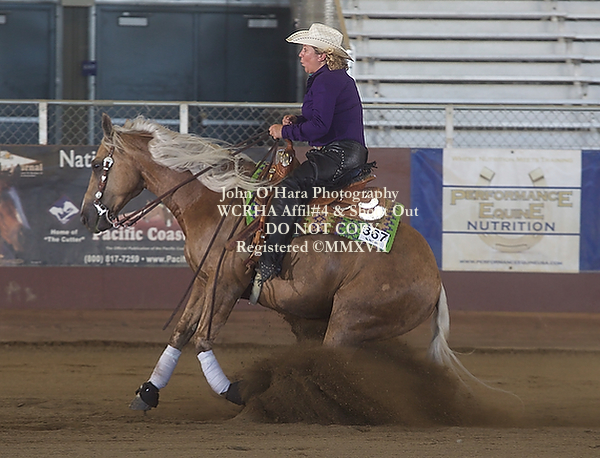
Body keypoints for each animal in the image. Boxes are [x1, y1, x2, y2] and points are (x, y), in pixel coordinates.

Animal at [80, 114, 463, 411]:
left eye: (98, 164)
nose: (85, 217)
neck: (213, 199)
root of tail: (435, 278)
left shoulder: (226, 284)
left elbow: (203, 338)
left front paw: (236, 391)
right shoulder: (205, 280)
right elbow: (181, 332)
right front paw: (147, 393)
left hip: (350, 320)